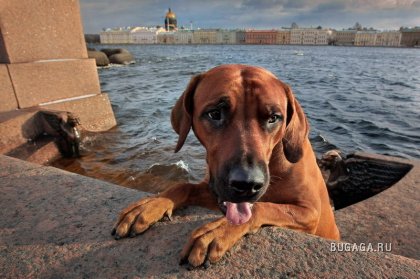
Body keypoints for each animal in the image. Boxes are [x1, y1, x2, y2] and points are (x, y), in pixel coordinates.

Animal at [112, 64, 342, 268]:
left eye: (274, 118)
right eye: (214, 114)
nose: (247, 184)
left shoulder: (310, 213)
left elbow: (260, 207)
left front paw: (217, 230)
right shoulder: (216, 189)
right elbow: (183, 186)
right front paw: (151, 204)